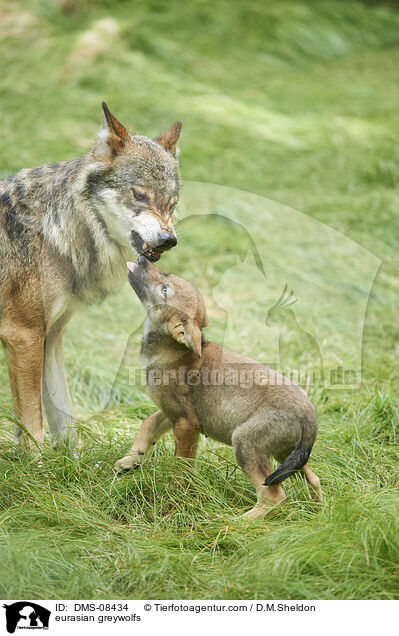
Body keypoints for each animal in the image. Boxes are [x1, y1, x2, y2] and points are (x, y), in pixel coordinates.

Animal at [0, 103, 181, 448]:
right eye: (139, 195)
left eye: (171, 204)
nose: (169, 240)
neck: (55, 228)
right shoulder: (23, 334)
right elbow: (32, 423)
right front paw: (37, 459)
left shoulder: (51, 335)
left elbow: (63, 418)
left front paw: (70, 460)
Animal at [115, 256, 322, 520]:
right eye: (166, 274)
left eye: (165, 290)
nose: (142, 258)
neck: (172, 351)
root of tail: (310, 418)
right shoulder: (172, 412)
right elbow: (147, 425)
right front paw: (131, 461)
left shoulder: (186, 423)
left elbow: (181, 466)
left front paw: (175, 497)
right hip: (286, 456)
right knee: (313, 480)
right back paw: (319, 512)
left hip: (245, 444)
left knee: (273, 496)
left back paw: (234, 523)